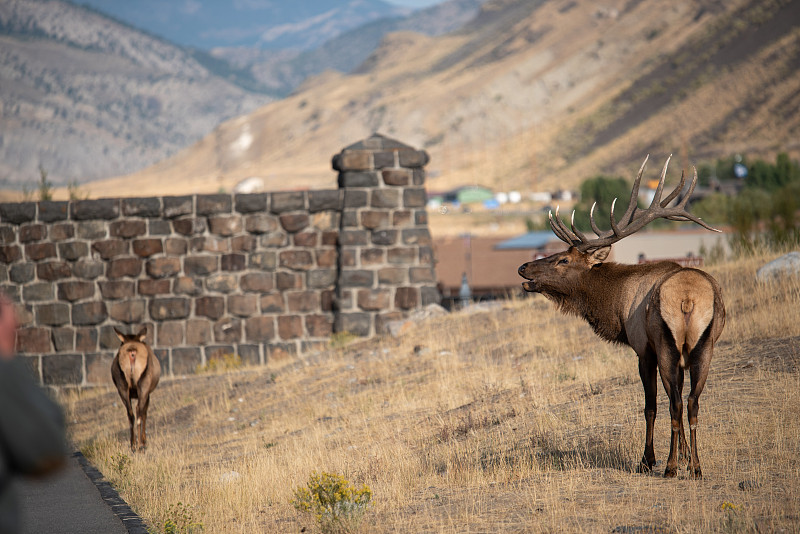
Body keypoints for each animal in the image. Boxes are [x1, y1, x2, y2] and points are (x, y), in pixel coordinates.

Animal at [520, 157, 724, 480]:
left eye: (564, 259)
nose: (523, 267)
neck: (616, 307)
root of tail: (688, 298)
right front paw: (685, 455)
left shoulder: (643, 349)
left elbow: (650, 406)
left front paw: (648, 460)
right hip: (704, 346)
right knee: (692, 401)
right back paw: (696, 468)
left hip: (666, 345)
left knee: (674, 404)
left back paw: (669, 467)